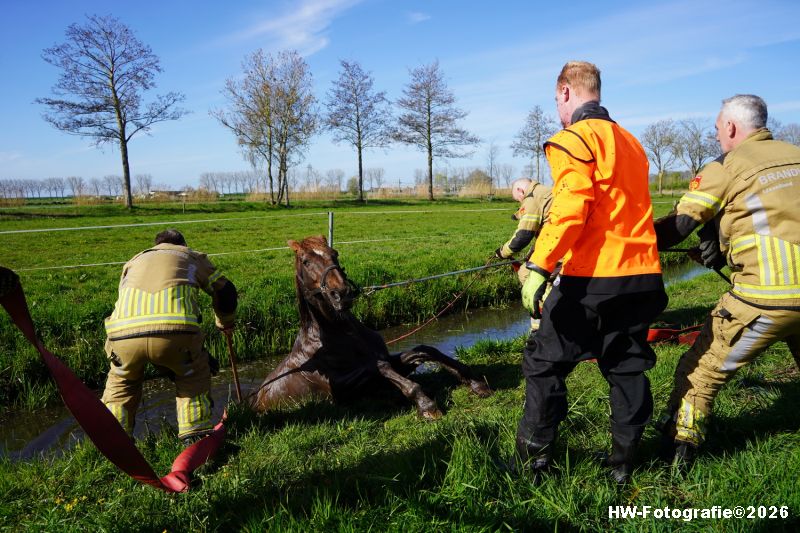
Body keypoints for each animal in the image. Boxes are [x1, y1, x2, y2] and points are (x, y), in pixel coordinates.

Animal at [250, 236, 492, 419]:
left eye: (335, 253)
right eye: (306, 261)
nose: (342, 294)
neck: (342, 333)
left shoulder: (389, 359)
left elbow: (423, 350)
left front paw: (475, 382)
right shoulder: (345, 388)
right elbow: (381, 368)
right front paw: (427, 406)